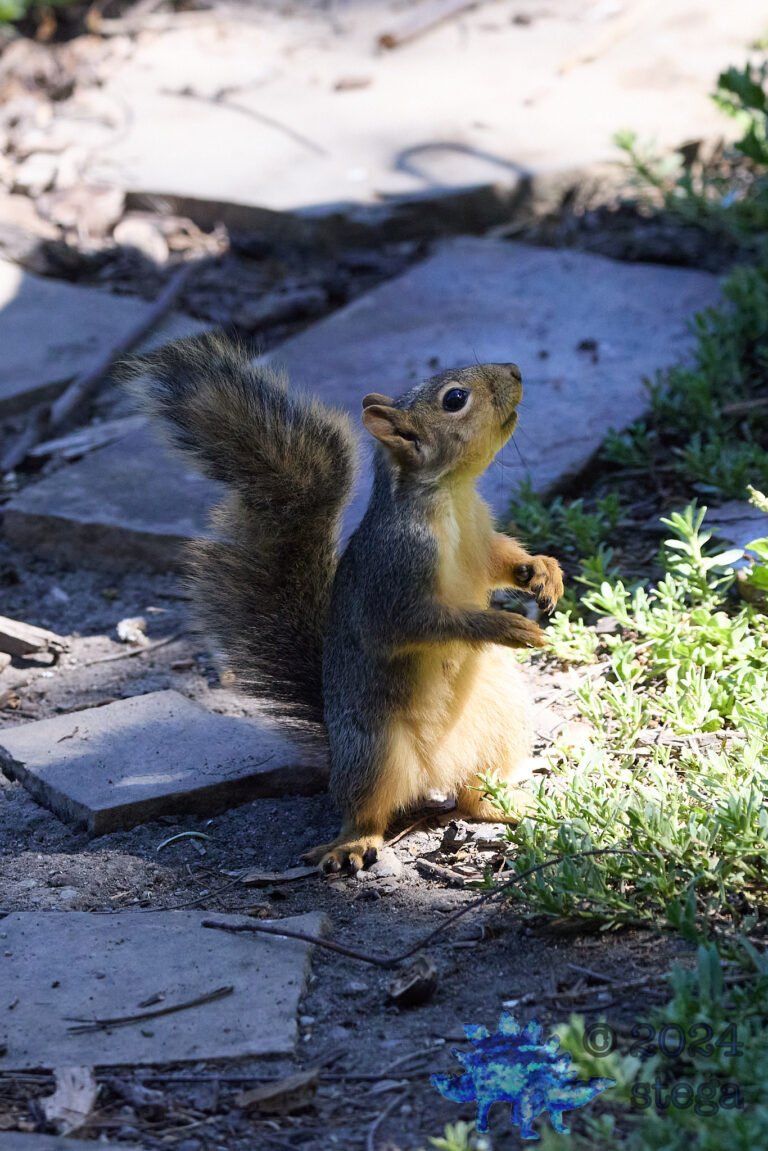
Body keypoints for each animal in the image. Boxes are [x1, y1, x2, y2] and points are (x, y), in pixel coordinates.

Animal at [129, 331, 564, 873]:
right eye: (455, 399)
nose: (515, 371)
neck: (453, 498)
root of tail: (434, 775)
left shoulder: (484, 538)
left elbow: (504, 561)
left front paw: (543, 571)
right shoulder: (394, 572)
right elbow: (417, 622)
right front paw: (505, 626)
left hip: (502, 724)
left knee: (470, 796)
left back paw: (509, 804)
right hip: (373, 752)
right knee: (366, 810)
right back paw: (352, 844)